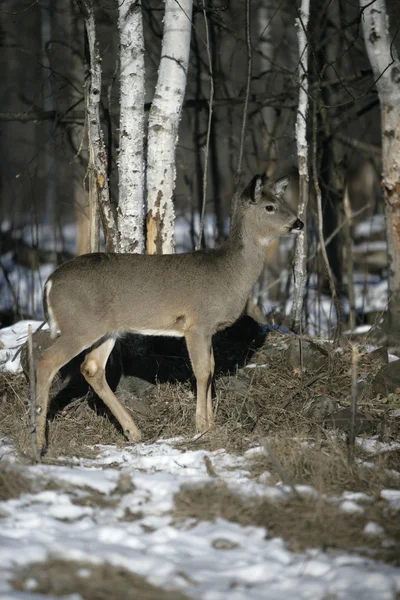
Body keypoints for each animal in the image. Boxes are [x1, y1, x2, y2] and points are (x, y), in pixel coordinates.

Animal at [36, 176, 304, 452]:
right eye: (270, 207)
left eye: (282, 200)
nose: (299, 223)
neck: (230, 272)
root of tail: (49, 282)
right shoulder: (196, 323)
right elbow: (202, 372)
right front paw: (202, 426)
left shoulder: (208, 329)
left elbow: (211, 368)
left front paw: (211, 425)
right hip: (80, 325)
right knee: (46, 361)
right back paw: (39, 441)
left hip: (104, 330)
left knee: (91, 368)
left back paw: (134, 431)